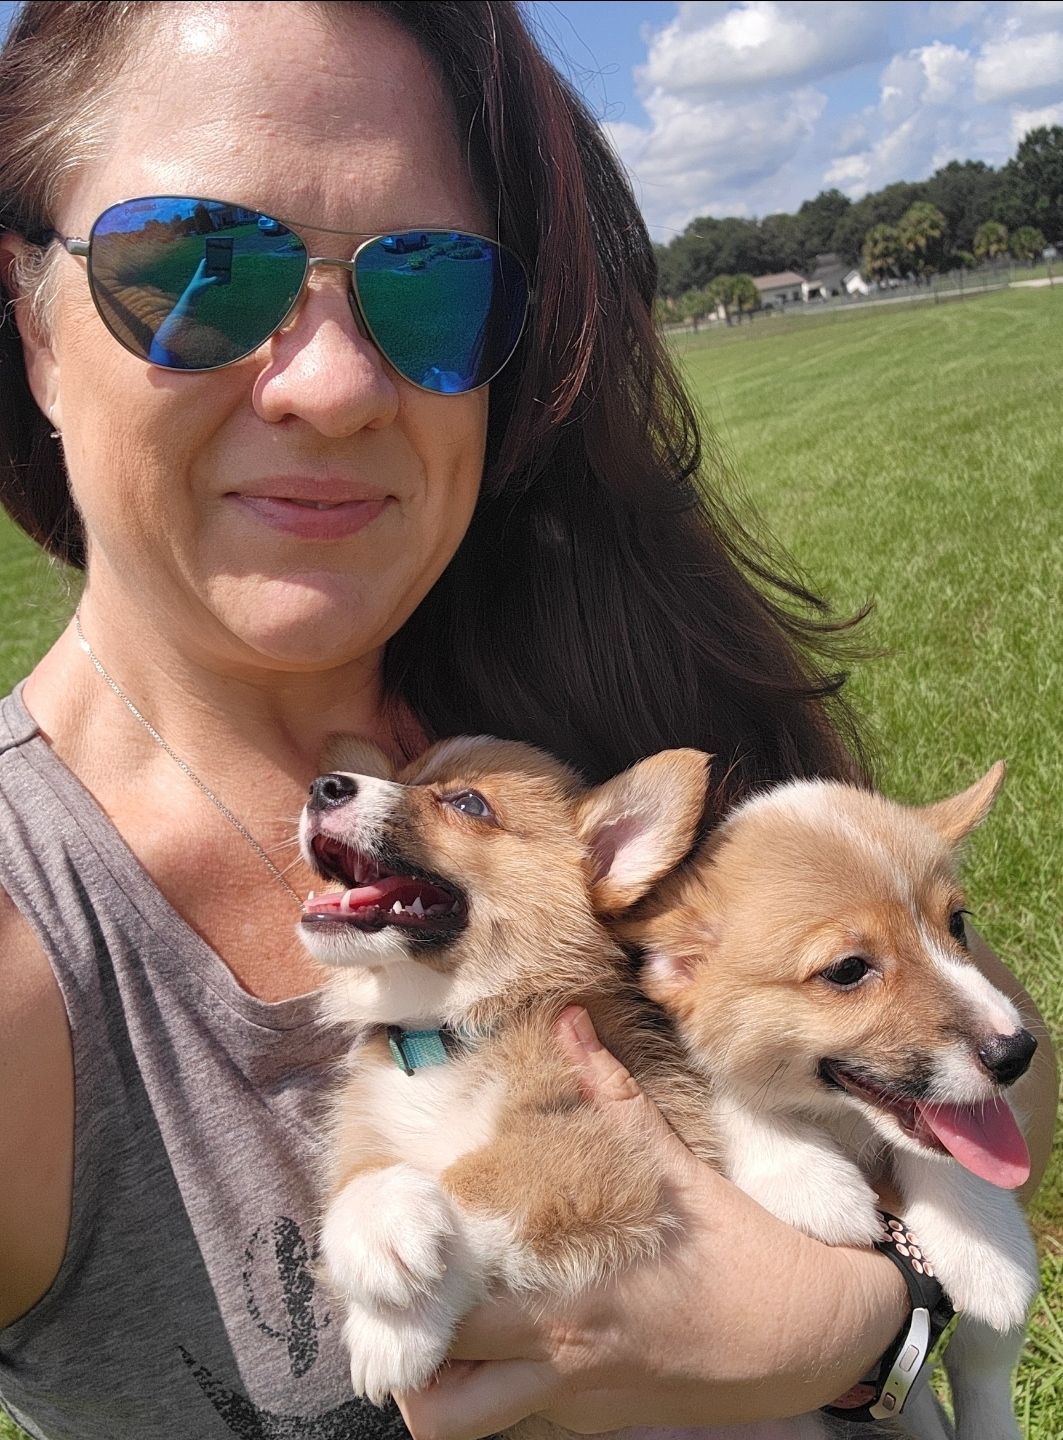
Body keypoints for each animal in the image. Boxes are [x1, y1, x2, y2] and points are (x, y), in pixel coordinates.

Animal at [623, 762, 1040, 1440]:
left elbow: (985, 1346)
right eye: (847, 970)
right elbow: (724, 1092)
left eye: (957, 924)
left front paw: (986, 1243)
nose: (1017, 1054)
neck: (842, 1121)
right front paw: (808, 1178)